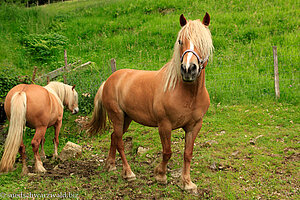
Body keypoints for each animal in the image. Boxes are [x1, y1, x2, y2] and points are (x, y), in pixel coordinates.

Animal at [86, 12, 213, 194]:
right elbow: (167, 152)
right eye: (180, 41)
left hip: (126, 118)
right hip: (117, 117)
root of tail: (109, 80)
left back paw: (110, 165)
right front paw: (160, 175)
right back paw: (128, 173)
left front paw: (187, 183)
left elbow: (188, 154)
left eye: (203, 41)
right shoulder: (164, 125)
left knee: (113, 137)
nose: (188, 69)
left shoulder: (194, 126)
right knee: (119, 141)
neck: (186, 93)